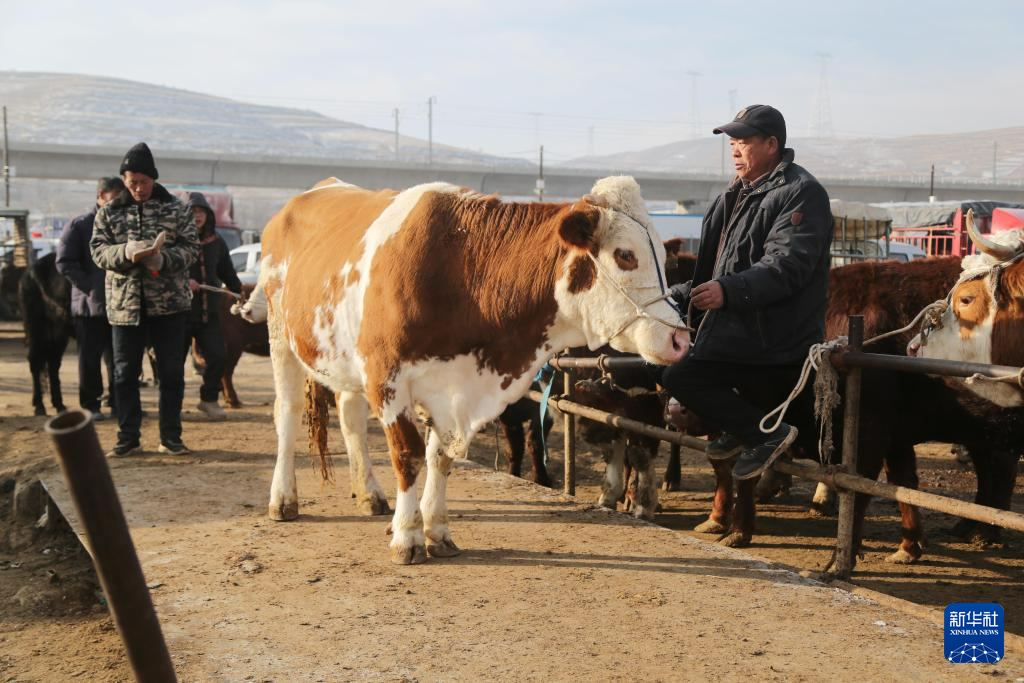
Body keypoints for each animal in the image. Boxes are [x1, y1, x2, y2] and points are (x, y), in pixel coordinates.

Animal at [239, 176, 688, 565]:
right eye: (625, 255)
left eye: (663, 257)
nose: (680, 338)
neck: (460, 269)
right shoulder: (388, 378)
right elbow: (408, 454)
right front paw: (407, 536)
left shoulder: (449, 388)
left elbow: (439, 458)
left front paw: (437, 531)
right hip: (281, 336)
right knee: (287, 414)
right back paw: (283, 499)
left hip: (345, 358)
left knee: (350, 419)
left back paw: (369, 493)